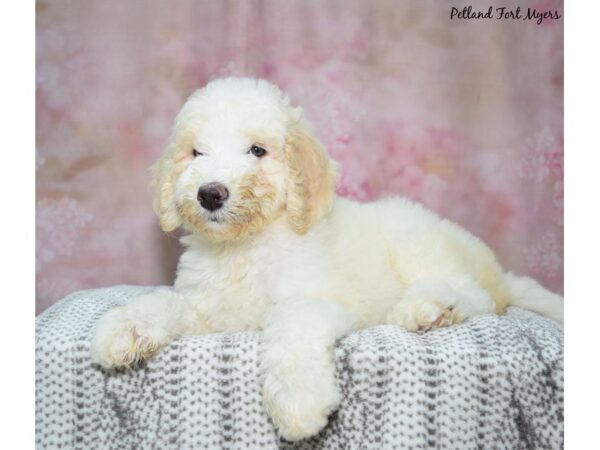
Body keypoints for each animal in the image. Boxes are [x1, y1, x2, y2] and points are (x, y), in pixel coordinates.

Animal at [89, 76, 564, 440]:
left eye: (257, 151)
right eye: (195, 153)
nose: (210, 193)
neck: (245, 247)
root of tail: (497, 270)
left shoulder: (319, 300)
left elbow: (291, 326)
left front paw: (300, 400)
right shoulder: (208, 310)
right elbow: (166, 302)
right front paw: (124, 329)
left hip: (417, 240)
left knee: (477, 295)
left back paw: (427, 307)